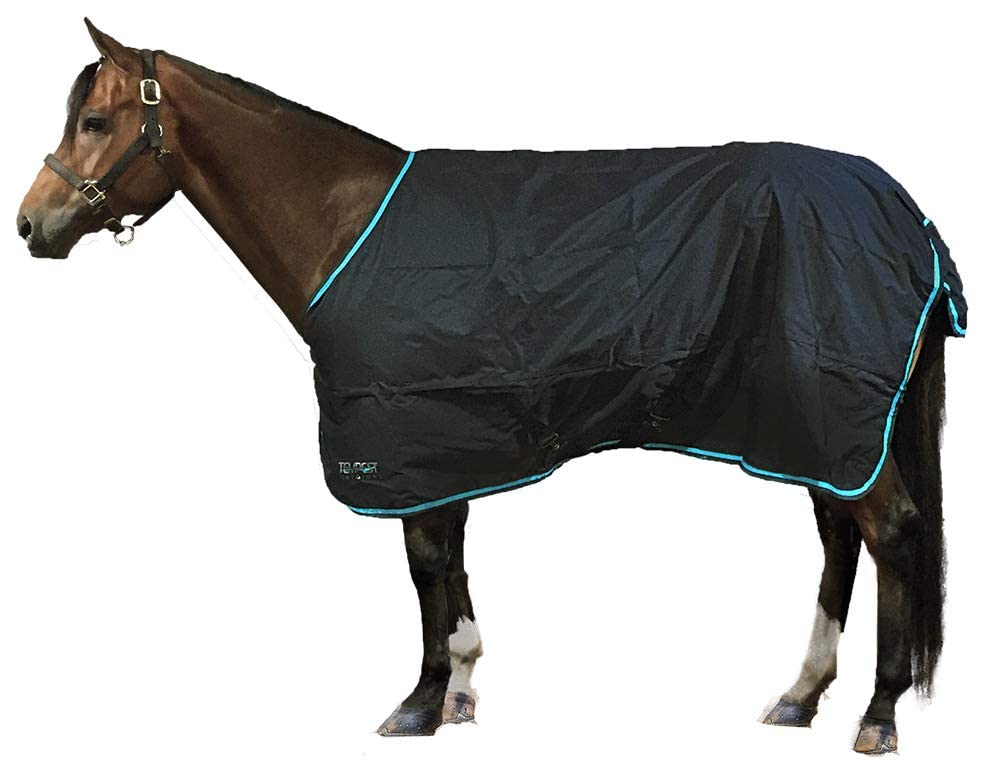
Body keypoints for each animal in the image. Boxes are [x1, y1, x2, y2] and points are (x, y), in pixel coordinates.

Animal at [16, 20, 966, 754]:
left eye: (95, 119)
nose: (31, 225)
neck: (347, 223)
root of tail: (906, 215)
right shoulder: (446, 444)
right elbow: (452, 564)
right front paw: (462, 689)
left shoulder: (406, 441)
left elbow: (425, 567)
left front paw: (419, 702)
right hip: (810, 423)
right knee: (840, 537)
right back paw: (801, 695)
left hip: (833, 414)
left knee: (889, 531)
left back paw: (877, 714)